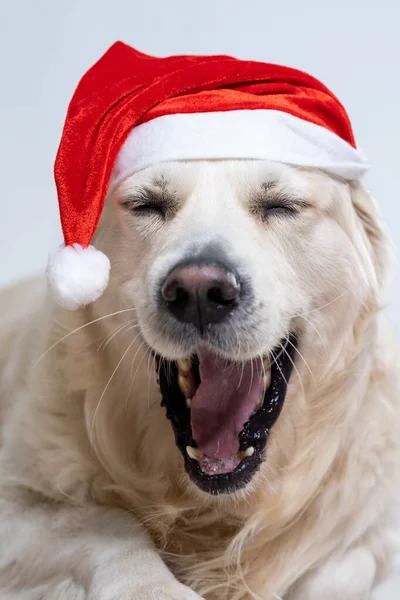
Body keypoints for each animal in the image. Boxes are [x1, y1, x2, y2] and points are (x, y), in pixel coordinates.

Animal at [0, 159, 400, 600]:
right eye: (146, 205)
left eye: (282, 206)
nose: (198, 291)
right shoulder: (18, 490)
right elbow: (107, 523)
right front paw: (151, 587)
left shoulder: (371, 532)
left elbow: (333, 562)